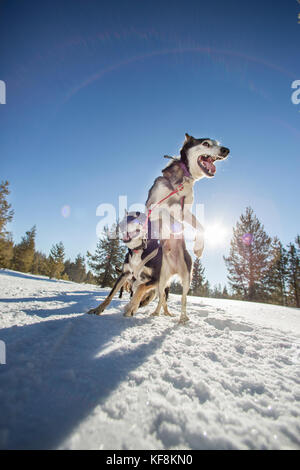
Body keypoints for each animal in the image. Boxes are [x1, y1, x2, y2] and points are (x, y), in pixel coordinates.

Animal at [144, 132, 230, 324]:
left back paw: (183, 318)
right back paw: (156, 312)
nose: (226, 150)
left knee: (183, 299)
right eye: (206, 144)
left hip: (186, 279)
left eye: (218, 143)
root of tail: (174, 269)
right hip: (162, 280)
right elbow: (167, 214)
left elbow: (201, 227)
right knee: (161, 297)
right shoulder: (152, 207)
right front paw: (174, 229)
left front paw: (199, 247)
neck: (182, 181)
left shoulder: (186, 211)